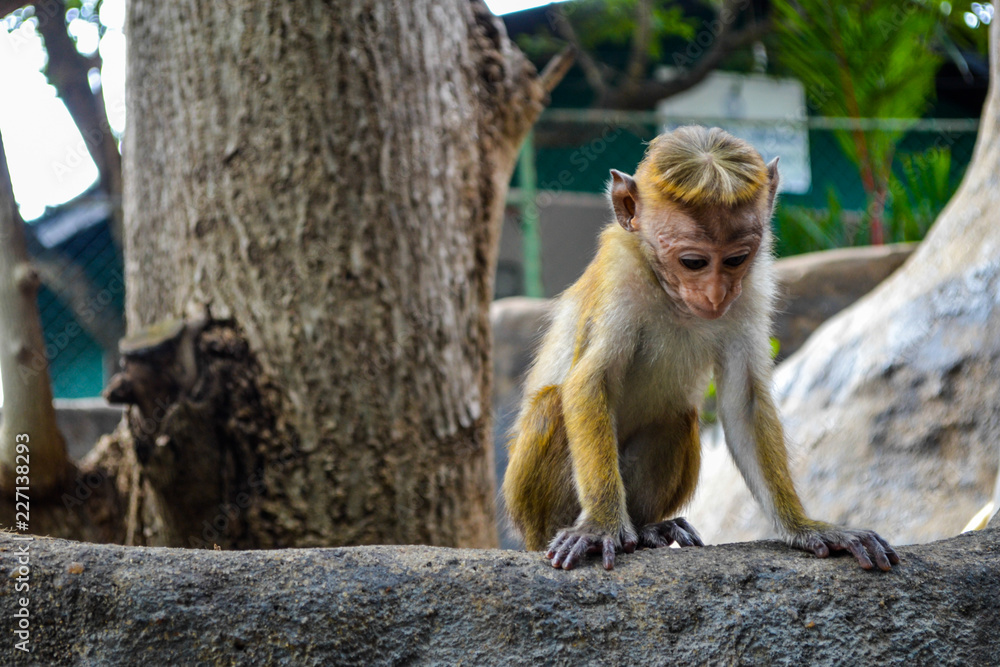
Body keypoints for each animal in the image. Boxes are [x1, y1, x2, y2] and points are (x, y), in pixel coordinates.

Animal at [504, 126, 904, 576]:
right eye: (693, 262)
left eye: (736, 259)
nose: (715, 295)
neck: (668, 291)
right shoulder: (619, 273)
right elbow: (590, 383)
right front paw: (600, 525)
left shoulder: (751, 289)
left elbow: (744, 402)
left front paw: (805, 527)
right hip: (528, 509)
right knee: (553, 403)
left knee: (675, 417)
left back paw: (648, 529)